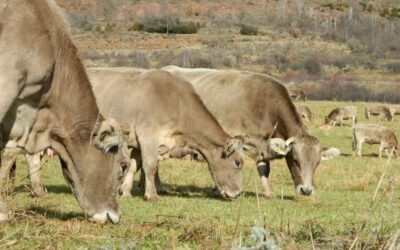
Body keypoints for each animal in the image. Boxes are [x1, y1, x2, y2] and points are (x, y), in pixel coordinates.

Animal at [161, 65, 336, 198]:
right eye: (295, 160)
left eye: (317, 163)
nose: (306, 190)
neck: (266, 106)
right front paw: (218, 188)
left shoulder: (263, 144)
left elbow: (264, 168)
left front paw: (267, 192)